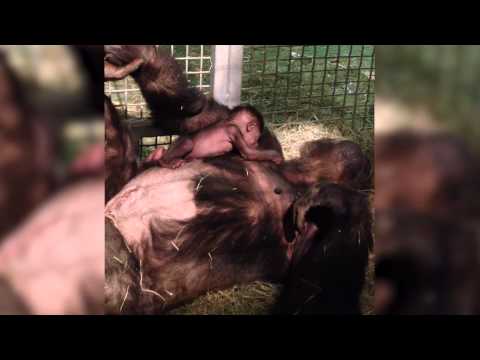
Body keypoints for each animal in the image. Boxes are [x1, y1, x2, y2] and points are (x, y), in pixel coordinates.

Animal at [152, 105, 284, 169]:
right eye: (256, 137)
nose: (256, 143)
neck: (230, 121)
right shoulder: (234, 131)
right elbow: (248, 153)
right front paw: (276, 156)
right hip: (179, 146)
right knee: (187, 143)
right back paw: (166, 162)